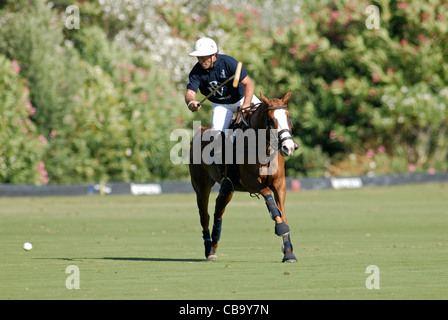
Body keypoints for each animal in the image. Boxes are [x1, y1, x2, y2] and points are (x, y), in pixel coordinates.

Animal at [189, 90, 298, 262]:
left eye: (288, 116)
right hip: (201, 186)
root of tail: (200, 130)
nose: (288, 147)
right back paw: (209, 250)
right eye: (271, 120)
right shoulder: (251, 182)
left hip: (228, 188)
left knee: (218, 210)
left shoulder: (280, 184)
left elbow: (283, 213)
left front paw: (288, 252)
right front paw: (281, 229)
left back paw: (214, 244)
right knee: (204, 216)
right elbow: (271, 203)